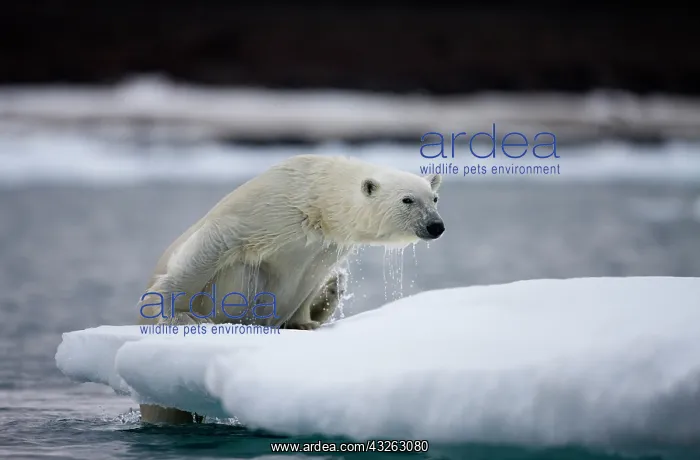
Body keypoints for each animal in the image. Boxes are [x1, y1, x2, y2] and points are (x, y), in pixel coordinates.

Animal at [135, 154, 445, 424]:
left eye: (434, 198)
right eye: (407, 200)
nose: (436, 226)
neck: (317, 200)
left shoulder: (325, 246)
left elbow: (312, 277)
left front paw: (305, 323)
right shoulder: (265, 209)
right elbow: (214, 242)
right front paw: (175, 313)